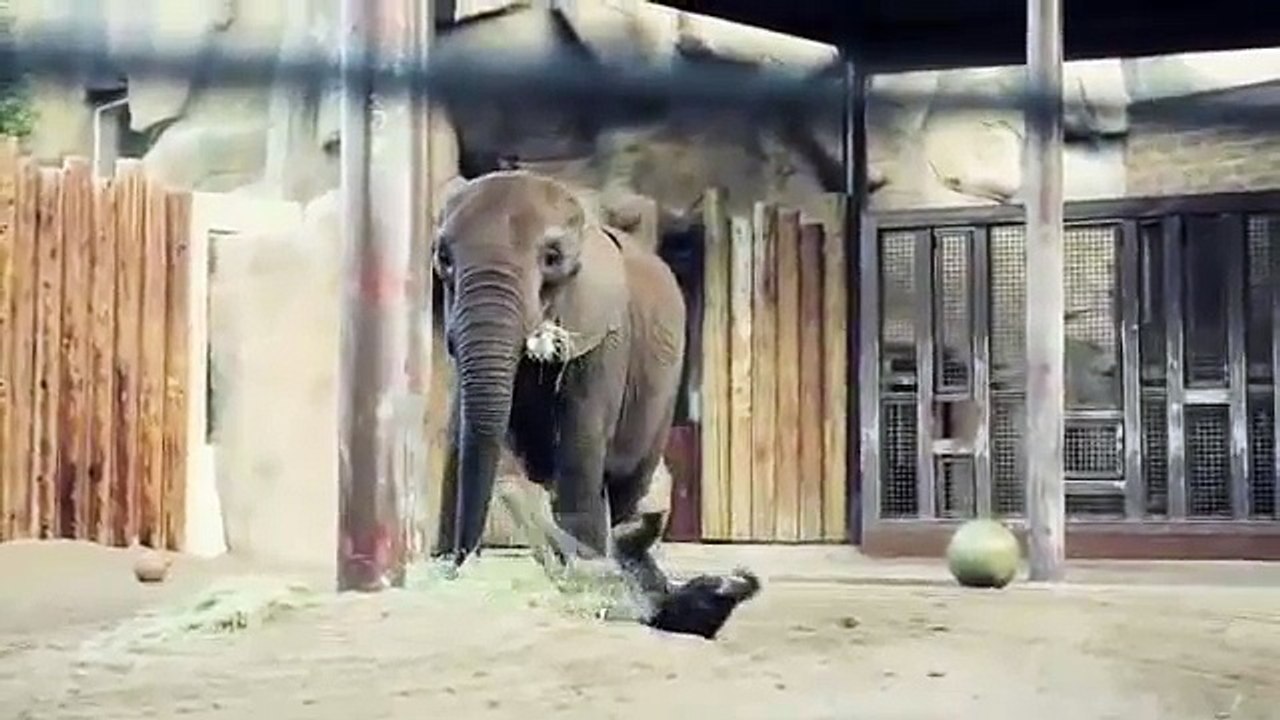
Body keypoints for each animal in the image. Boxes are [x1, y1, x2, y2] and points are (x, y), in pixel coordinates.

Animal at [429, 169, 759, 639]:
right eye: (443, 259)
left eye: (552, 258)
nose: (463, 564)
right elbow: (459, 438)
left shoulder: (605, 338)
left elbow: (580, 444)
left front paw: (589, 584)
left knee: (624, 489)